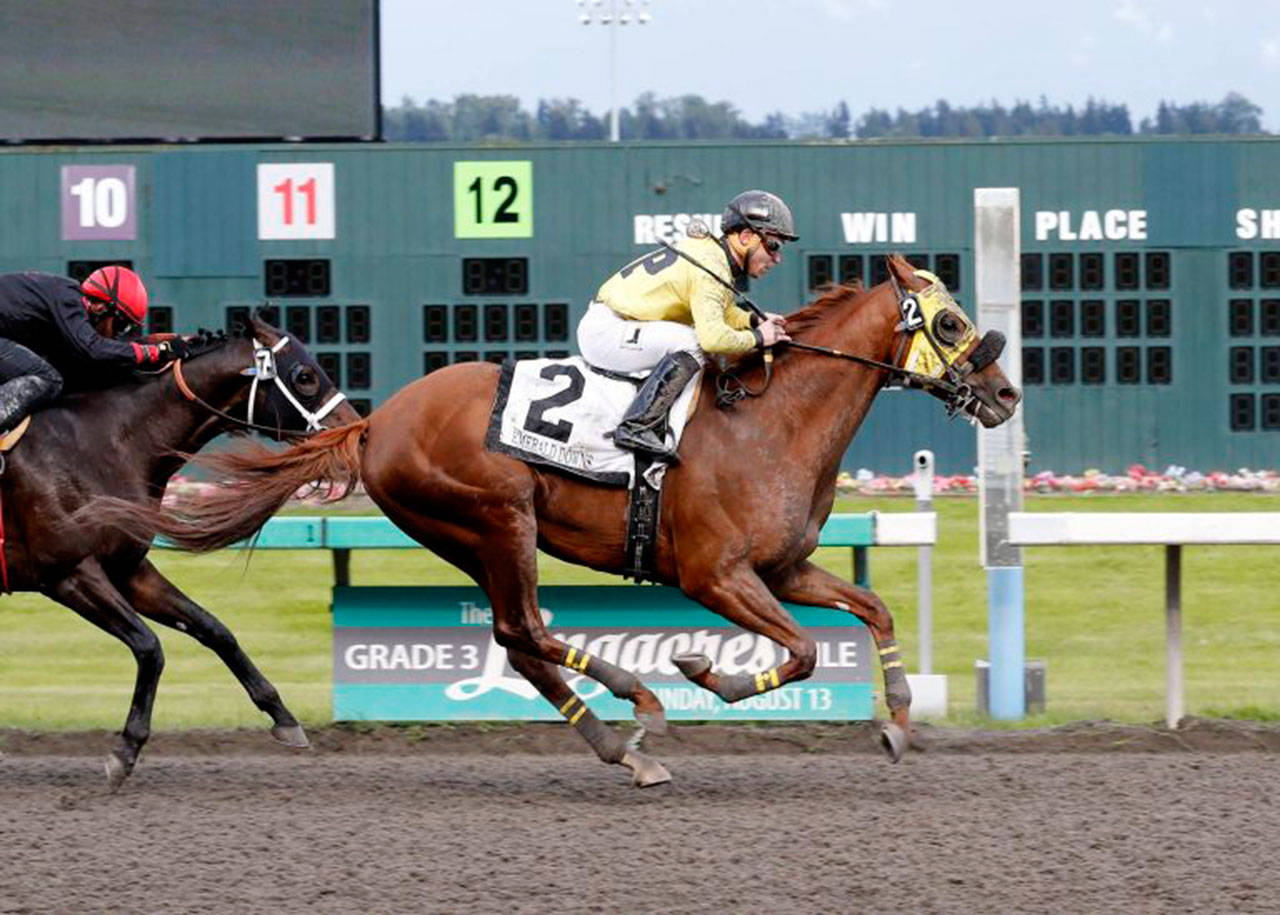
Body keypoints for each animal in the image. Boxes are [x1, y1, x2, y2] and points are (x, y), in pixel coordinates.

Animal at [8, 318, 360, 793]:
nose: (356, 431)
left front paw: (283, 716)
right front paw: (125, 750)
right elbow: (150, 647)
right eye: (305, 376)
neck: (108, 442)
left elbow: (214, 629)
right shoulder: (70, 574)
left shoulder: (128, 569)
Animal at [137, 255, 1018, 788]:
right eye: (947, 323)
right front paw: (702, 669)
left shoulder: (784, 567)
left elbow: (873, 608)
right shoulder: (715, 574)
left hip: (470, 537)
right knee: (524, 627)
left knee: (518, 640)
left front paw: (898, 721)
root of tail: (377, 420)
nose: (1006, 393)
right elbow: (800, 652)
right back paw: (639, 705)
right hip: (499, 516)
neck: (773, 420)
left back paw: (618, 744)